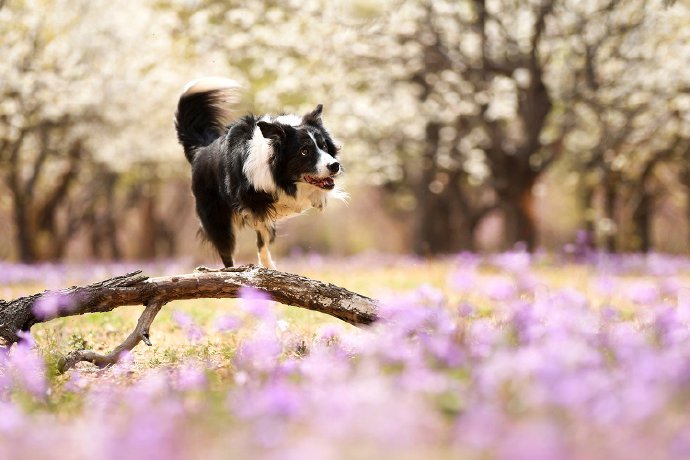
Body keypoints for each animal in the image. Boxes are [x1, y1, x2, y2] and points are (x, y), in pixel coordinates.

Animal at [172, 77, 344, 268]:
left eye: (324, 146)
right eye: (304, 151)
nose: (335, 166)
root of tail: (201, 150)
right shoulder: (251, 201)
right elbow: (264, 216)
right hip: (215, 216)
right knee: (226, 250)